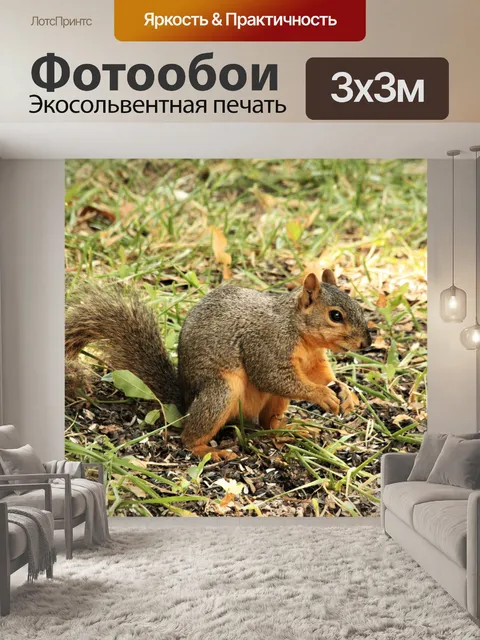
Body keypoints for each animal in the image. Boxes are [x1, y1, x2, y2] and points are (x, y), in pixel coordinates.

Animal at [65, 269, 371, 461]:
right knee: (189, 437)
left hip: (272, 403)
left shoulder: (314, 359)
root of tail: (185, 402)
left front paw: (346, 392)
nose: (367, 342)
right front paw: (322, 395)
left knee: (266, 423)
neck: (300, 332)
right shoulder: (266, 345)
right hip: (221, 391)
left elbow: (319, 374)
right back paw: (208, 451)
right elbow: (272, 376)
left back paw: (287, 429)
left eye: (358, 306)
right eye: (335, 315)